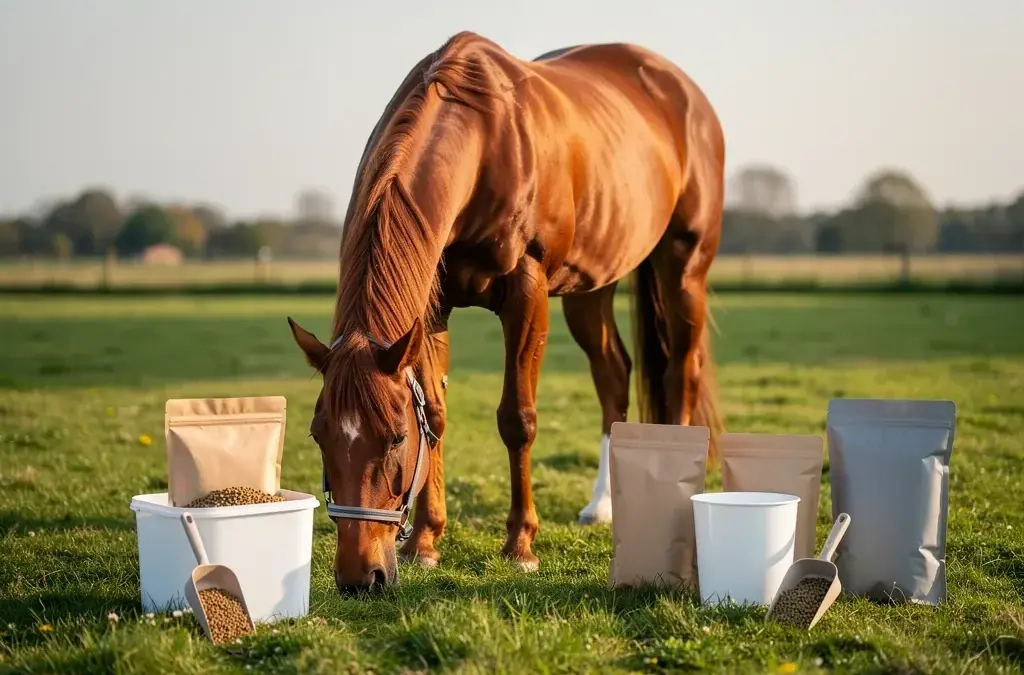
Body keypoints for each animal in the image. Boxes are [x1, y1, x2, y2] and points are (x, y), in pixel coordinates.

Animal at [286, 30, 725, 593]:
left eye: (396, 437)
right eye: (318, 434)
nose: (360, 577)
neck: (483, 141)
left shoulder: (526, 293)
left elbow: (517, 419)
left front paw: (520, 545)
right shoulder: (433, 309)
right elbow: (438, 414)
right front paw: (424, 543)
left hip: (683, 266)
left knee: (680, 373)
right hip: (591, 285)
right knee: (613, 374)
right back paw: (601, 506)